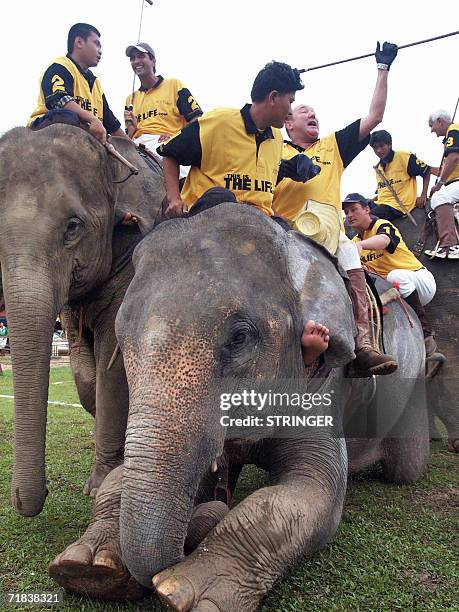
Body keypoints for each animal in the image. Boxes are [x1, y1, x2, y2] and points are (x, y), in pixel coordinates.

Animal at [48, 203, 430, 608]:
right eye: (121, 339)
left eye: (240, 337)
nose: (195, 530)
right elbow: (125, 476)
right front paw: (88, 568)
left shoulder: (325, 381)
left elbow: (315, 490)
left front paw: (185, 593)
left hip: (413, 369)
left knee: (404, 465)